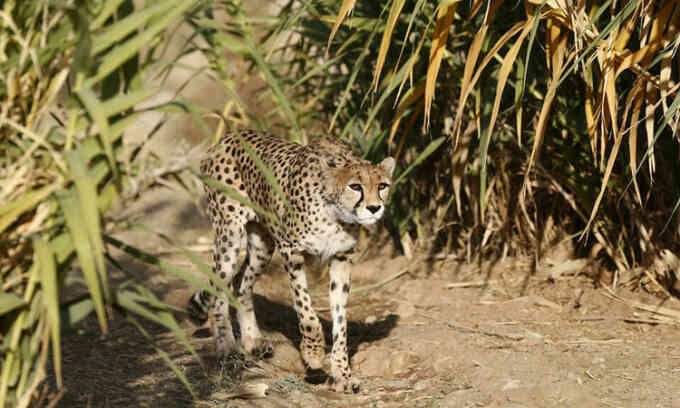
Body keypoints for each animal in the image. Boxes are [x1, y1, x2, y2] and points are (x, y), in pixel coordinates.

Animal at [189, 130, 396, 392]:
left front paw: (342, 374)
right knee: (219, 290)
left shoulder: (341, 259)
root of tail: (228, 137)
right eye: (355, 186)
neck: (335, 215)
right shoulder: (292, 252)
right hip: (230, 236)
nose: (374, 208)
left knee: (242, 285)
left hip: (263, 245)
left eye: (382, 186)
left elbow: (341, 321)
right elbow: (306, 310)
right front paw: (313, 353)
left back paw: (252, 341)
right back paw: (227, 349)